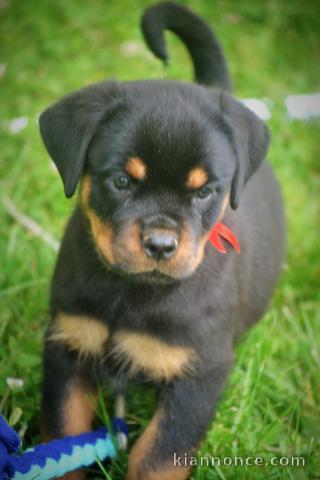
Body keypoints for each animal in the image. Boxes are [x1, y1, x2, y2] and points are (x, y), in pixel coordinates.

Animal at [39, 1, 284, 478]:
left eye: (204, 192)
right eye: (120, 181)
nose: (160, 245)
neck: (130, 292)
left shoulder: (199, 374)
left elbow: (158, 455)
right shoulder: (68, 344)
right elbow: (63, 436)